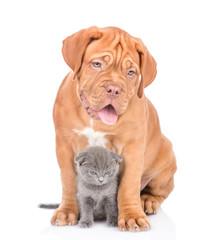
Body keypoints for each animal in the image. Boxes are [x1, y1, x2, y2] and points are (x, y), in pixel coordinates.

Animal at [50, 26, 176, 232]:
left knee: (157, 191)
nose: (114, 89)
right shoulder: (64, 146)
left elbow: (128, 185)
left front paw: (132, 216)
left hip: (166, 162)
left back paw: (147, 200)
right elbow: (69, 181)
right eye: (97, 64)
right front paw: (67, 211)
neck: (95, 120)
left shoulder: (132, 150)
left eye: (131, 72)